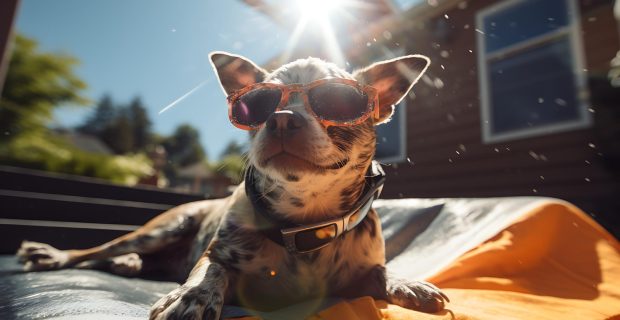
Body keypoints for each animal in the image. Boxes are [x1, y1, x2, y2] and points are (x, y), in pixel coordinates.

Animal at [17, 51, 448, 318]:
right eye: (258, 105)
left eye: (337, 102)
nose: (282, 118)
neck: (304, 219)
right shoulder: (217, 254)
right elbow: (212, 270)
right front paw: (189, 295)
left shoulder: (363, 271)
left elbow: (382, 272)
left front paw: (408, 282)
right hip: (164, 227)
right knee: (96, 250)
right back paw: (57, 255)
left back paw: (129, 264)